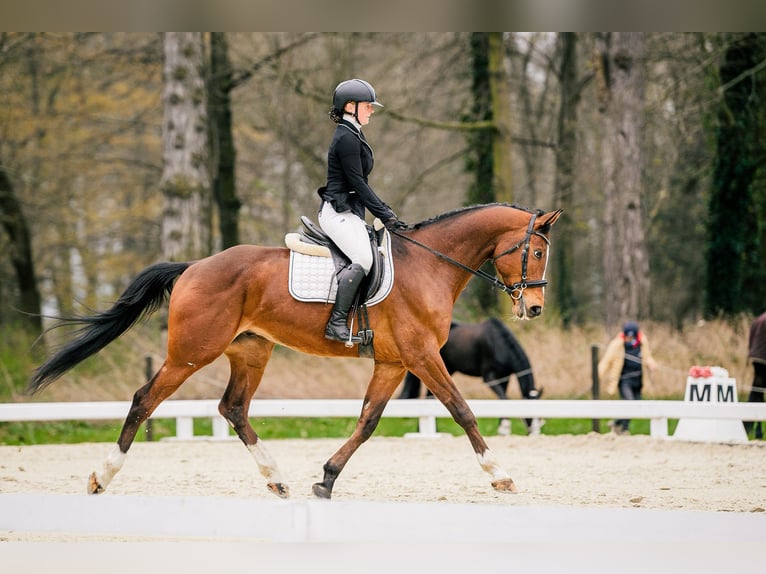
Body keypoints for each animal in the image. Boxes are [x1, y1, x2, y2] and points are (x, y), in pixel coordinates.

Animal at [397, 317, 543, 435]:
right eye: (529, 414)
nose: (535, 433)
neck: (498, 343)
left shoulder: (504, 378)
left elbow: (502, 398)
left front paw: (502, 429)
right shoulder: (489, 377)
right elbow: (504, 398)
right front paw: (504, 428)